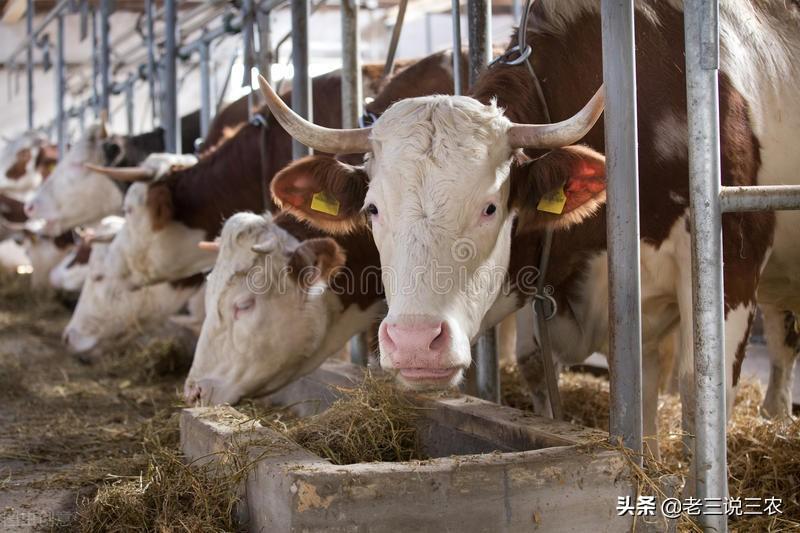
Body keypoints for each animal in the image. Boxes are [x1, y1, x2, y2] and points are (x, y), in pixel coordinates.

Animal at [256, 0, 800, 460]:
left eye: (491, 207)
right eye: (372, 209)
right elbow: (560, 373)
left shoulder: (733, 254)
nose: (413, 343)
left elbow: (698, 394)